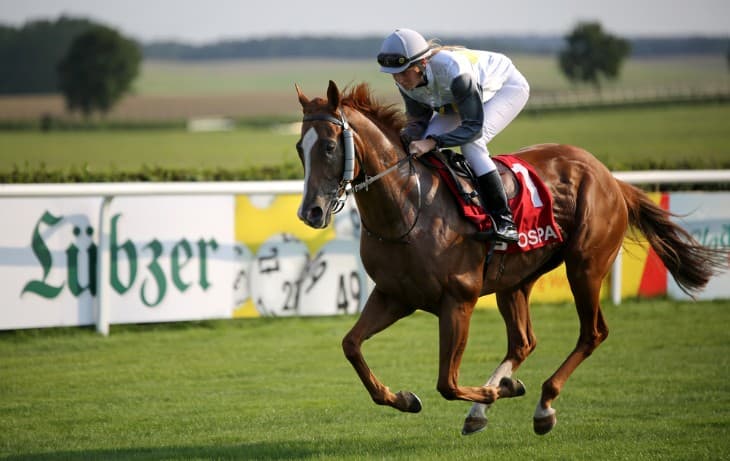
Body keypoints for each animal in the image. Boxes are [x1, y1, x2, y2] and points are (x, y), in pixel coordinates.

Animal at [293, 80, 727, 436]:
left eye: (329, 146)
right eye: (300, 148)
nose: (310, 212)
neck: (408, 207)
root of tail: (609, 177)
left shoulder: (459, 300)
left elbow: (447, 383)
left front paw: (494, 393)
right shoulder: (394, 296)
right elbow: (351, 345)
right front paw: (403, 398)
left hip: (585, 265)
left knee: (592, 333)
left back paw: (541, 404)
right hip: (515, 280)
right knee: (523, 342)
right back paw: (492, 401)